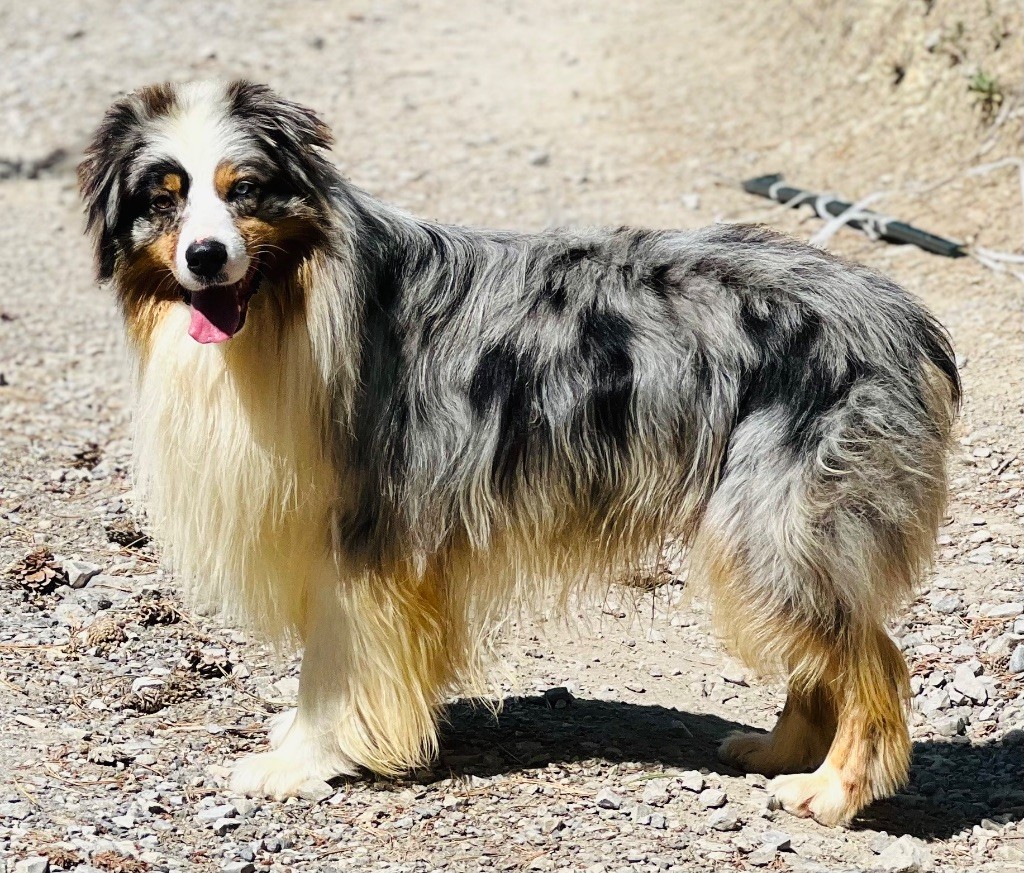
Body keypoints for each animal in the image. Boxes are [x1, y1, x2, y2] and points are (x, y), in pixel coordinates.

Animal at [79, 81, 958, 822]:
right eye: (163, 198)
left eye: (245, 189)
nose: (205, 256)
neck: (297, 298)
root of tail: (898, 311)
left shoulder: (364, 534)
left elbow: (332, 669)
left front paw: (299, 760)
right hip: (768, 531)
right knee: (828, 654)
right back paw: (779, 751)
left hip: (775, 524)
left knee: (872, 660)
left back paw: (834, 789)